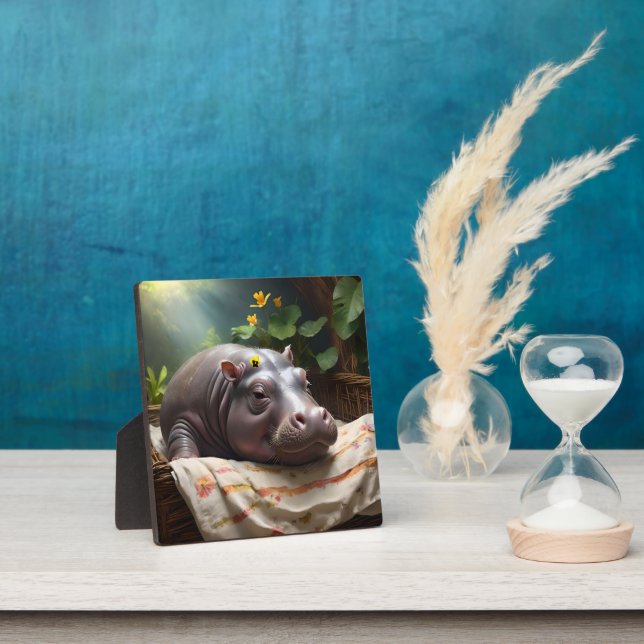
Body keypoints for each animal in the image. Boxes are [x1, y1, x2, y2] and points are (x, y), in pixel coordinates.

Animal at [159, 343, 338, 464]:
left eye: (307, 383)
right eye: (258, 394)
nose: (314, 417)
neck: (225, 390)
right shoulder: (184, 415)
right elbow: (180, 434)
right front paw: (185, 459)